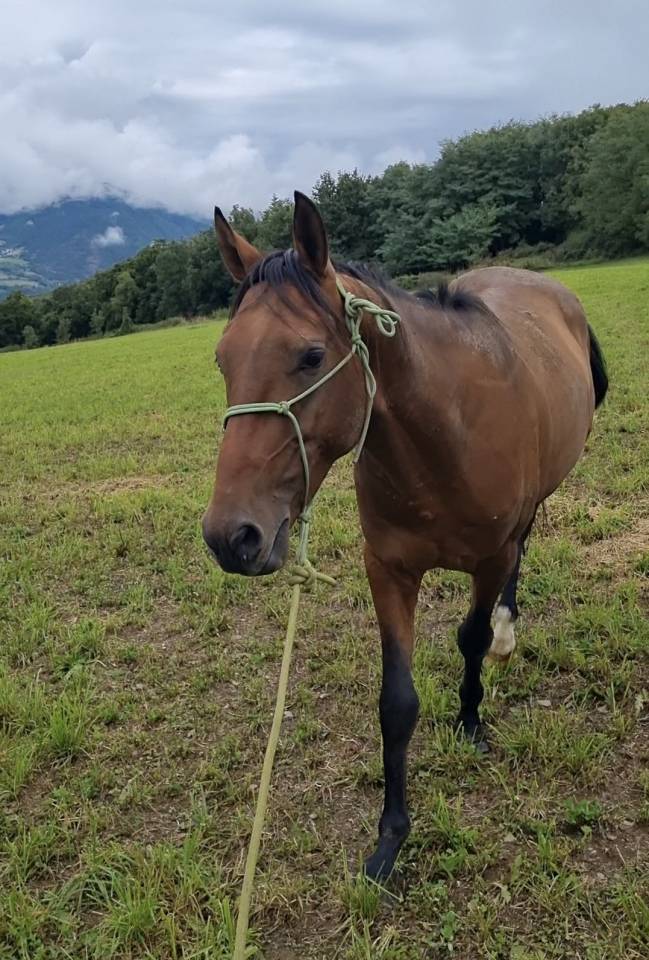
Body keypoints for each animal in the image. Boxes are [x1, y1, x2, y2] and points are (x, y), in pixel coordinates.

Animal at [202, 191, 608, 881]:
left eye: (311, 356)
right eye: (222, 359)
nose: (232, 536)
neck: (445, 434)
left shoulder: (489, 558)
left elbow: (471, 637)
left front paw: (470, 719)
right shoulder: (388, 569)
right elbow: (396, 703)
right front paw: (391, 837)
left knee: (522, 554)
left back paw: (508, 629)